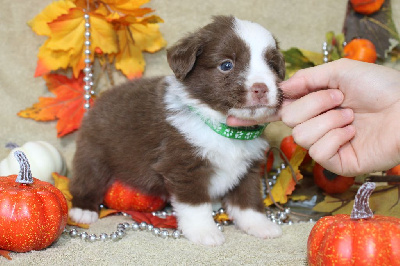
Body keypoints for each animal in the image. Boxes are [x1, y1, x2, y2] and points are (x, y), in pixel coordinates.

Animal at [70, 16, 286, 245]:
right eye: (226, 65)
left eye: (272, 67)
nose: (261, 88)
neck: (223, 127)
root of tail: (100, 98)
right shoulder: (183, 165)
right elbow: (195, 205)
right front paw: (205, 232)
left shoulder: (249, 168)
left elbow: (248, 201)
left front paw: (260, 225)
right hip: (94, 150)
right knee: (88, 177)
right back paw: (83, 210)